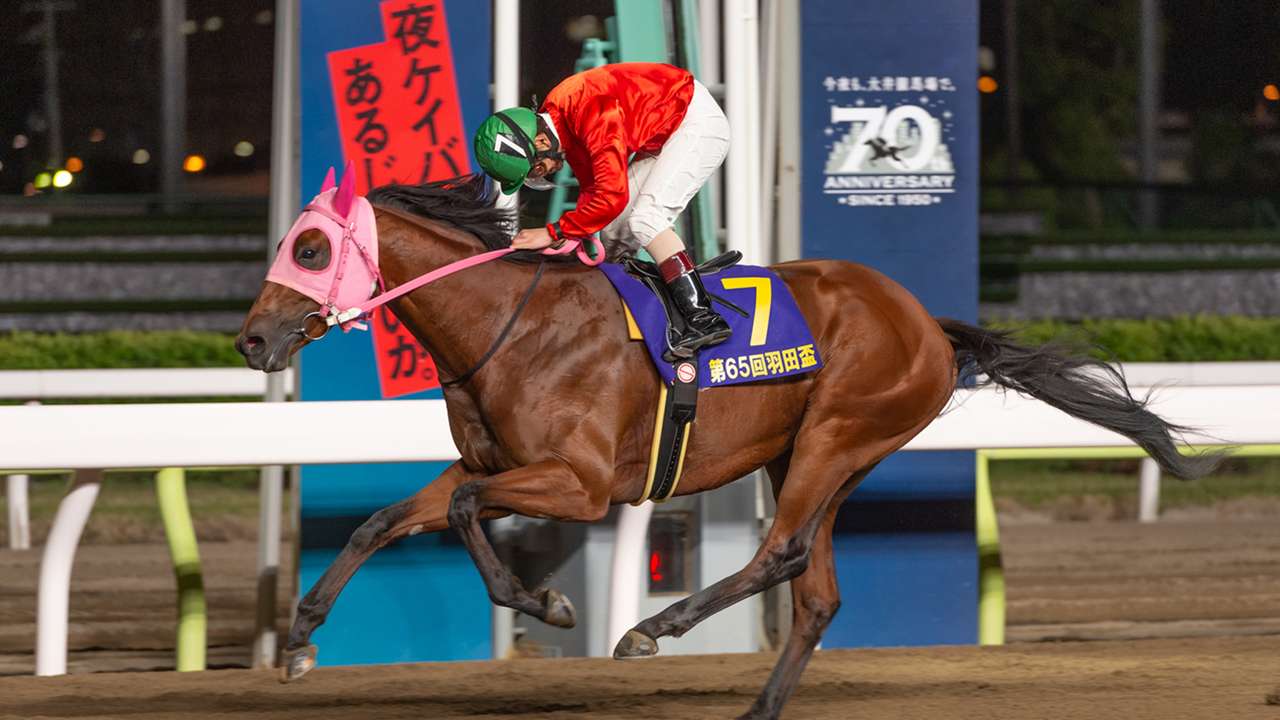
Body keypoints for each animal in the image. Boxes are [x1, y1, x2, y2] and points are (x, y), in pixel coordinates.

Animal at [237, 171, 1215, 720]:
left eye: (311, 248)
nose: (250, 341)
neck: (507, 324)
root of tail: (927, 323)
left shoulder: (581, 482)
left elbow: (476, 515)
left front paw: (546, 602)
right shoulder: (489, 462)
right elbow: (383, 521)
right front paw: (300, 640)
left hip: (838, 433)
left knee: (781, 553)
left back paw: (650, 629)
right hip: (818, 454)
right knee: (816, 592)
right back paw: (754, 708)